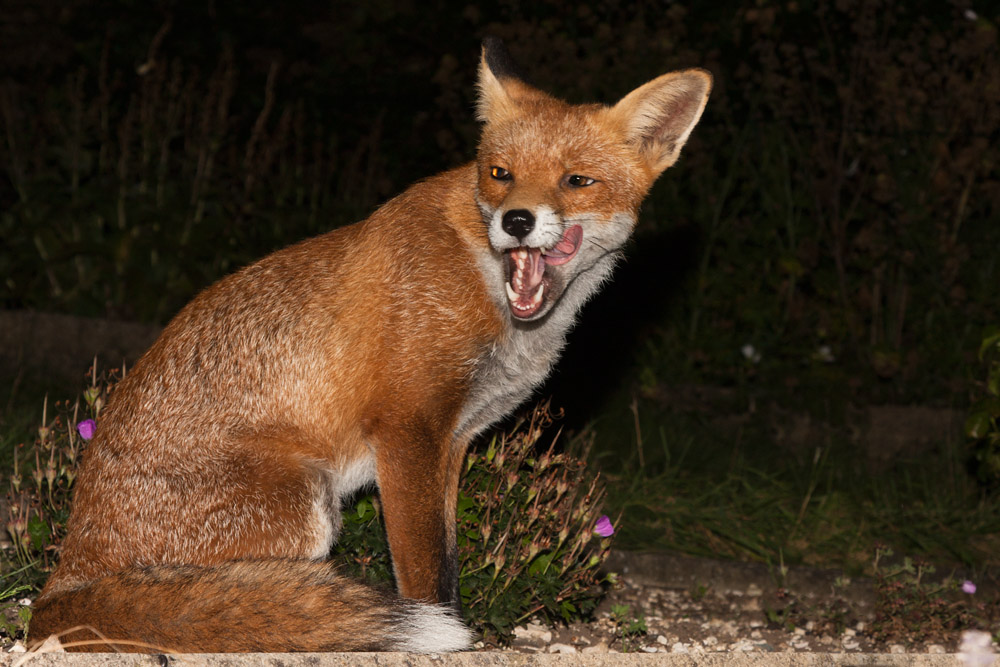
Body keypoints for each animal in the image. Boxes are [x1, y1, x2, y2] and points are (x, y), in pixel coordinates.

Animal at [29, 38, 711, 653]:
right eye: (500, 174)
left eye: (577, 180)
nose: (515, 220)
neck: (486, 284)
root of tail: (63, 578)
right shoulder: (407, 428)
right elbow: (425, 572)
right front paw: (455, 637)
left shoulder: (452, 440)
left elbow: (447, 558)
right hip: (306, 505)